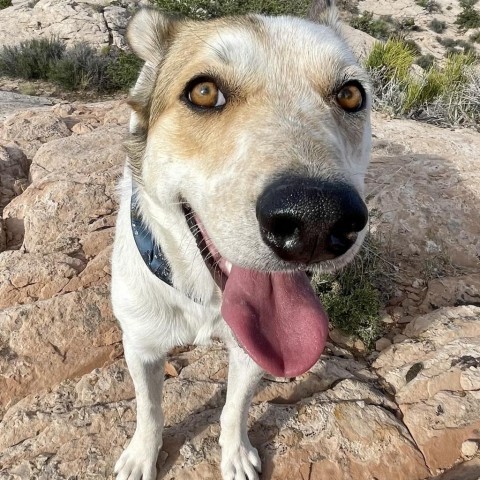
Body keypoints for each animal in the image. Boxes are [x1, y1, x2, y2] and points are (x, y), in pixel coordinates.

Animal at [111, 1, 372, 478]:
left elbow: (235, 408)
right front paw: (141, 456)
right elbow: (149, 409)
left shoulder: (252, 354)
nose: (316, 218)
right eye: (203, 92)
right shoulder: (141, 346)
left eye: (350, 95)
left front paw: (235, 454)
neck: (204, 297)